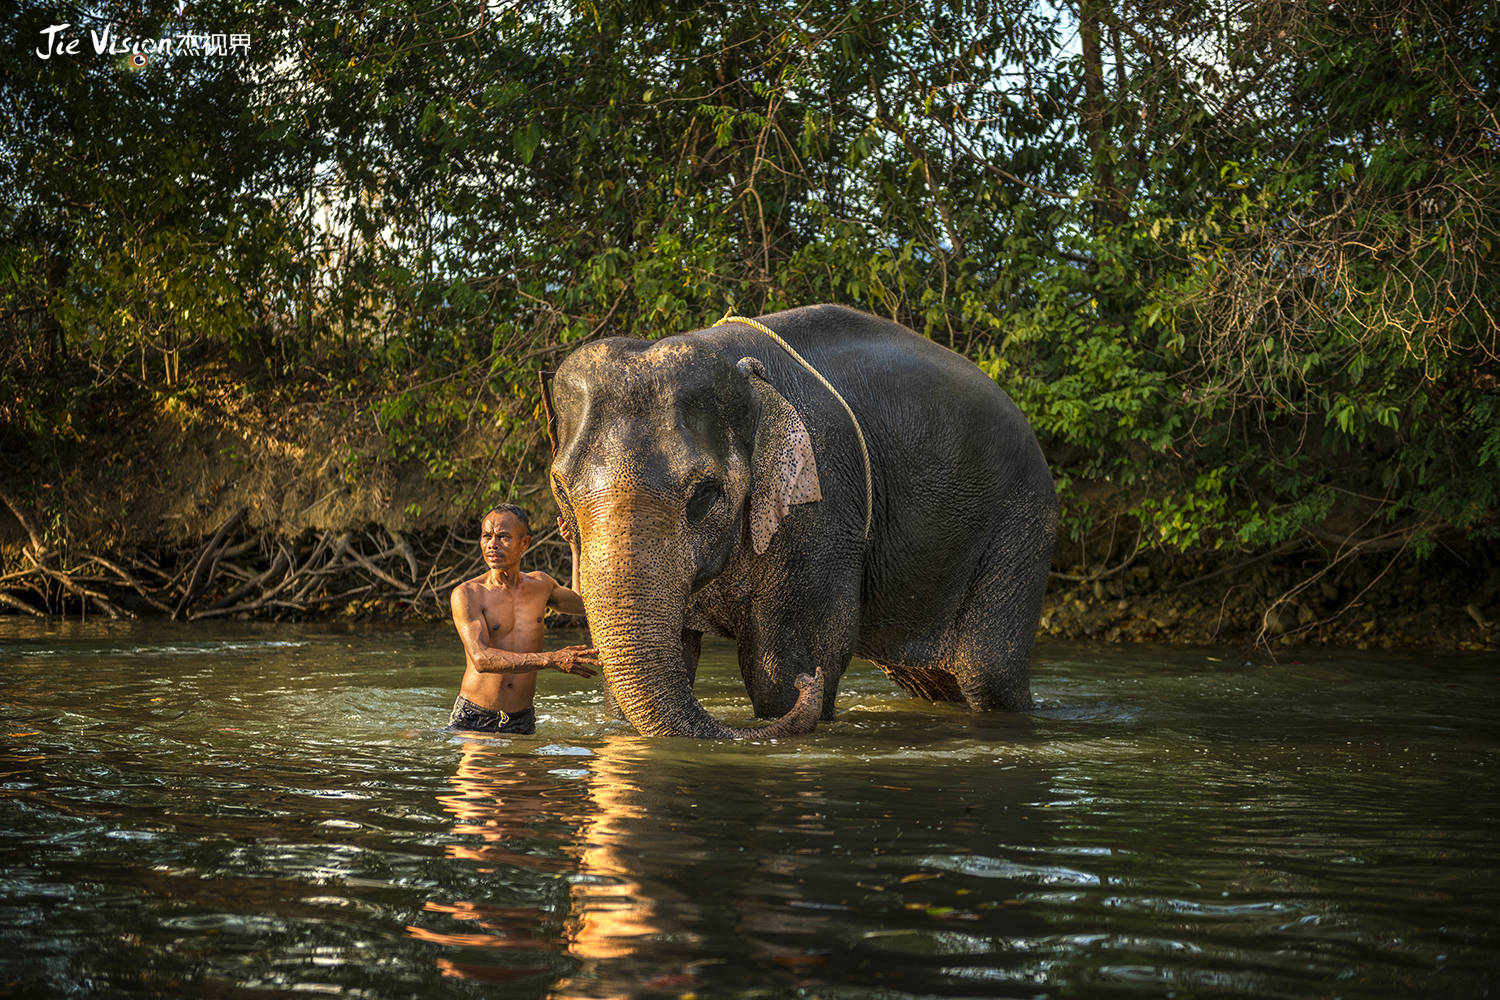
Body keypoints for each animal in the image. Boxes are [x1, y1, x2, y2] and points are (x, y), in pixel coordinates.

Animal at [540, 308, 1056, 740]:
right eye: (561, 488)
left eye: (706, 493)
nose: (816, 684)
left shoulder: (824, 498)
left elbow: (782, 669)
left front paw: (804, 679)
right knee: (936, 679)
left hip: (1021, 529)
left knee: (988, 675)